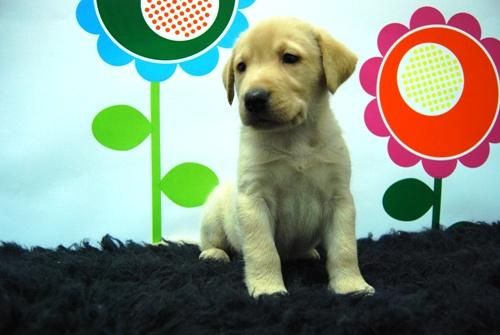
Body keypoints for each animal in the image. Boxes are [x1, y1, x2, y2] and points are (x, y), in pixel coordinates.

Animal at [199, 17, 376, 298]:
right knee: (211, 242)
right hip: (213, 219)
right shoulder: (254, 199)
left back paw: (308, 253)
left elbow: (344, 249)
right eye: (241, 67)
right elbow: (263, 251)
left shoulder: (339, 199)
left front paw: (352, 286)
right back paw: (214, 254)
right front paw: (268, 288)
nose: (253, 98)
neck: (294, 137)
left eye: (290, 58)